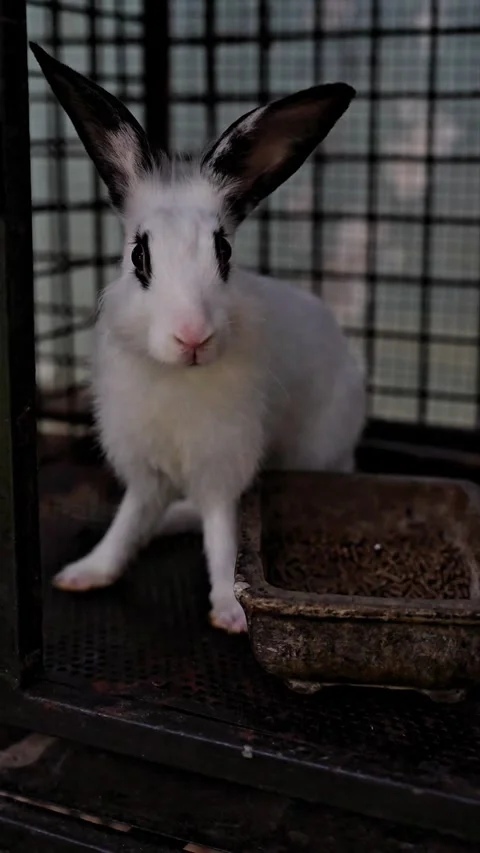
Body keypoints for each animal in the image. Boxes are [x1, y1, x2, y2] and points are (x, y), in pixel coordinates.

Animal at [32, 43, 366, 633]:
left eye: (224, 252)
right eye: (139, 256)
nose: (192, 336)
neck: (176, 377)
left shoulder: (222, 465)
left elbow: (223, 534)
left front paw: (230, 609)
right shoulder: (144, 469)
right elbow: (130, 520)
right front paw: (87, 573)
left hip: (317, 448)